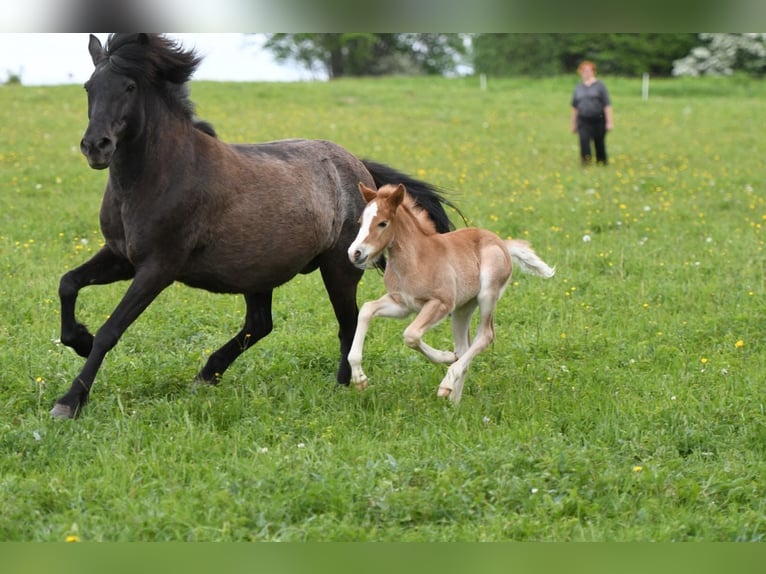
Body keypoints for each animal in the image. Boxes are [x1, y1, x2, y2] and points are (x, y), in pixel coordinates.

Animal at [50, 33, 458, 419]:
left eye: (130, 87)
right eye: (89, 86)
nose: (96, 146)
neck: (158, 175)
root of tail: (359, 171)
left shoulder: (158, 268)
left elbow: (111, 330)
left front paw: (69, 401)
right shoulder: (122, 257)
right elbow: (68, 283)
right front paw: (79, 340)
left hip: (338, 267)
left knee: (346, 322)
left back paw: (342, 385)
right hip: (259, 270)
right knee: (261, 323)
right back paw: (206, 376)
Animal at [347, 183, 555, 403]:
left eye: (383, 223)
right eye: (360, 222)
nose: (355, 253)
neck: (415, 259)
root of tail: (503, 244)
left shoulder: (441, 303)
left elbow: (411, 334)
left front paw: (445, 357)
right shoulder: (402, 304)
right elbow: (367, 309)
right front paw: (359, 378)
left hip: (487, 294)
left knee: (485, 336)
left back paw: (447, 383)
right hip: (462, 309)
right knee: (464, 347)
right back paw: (454, 402)